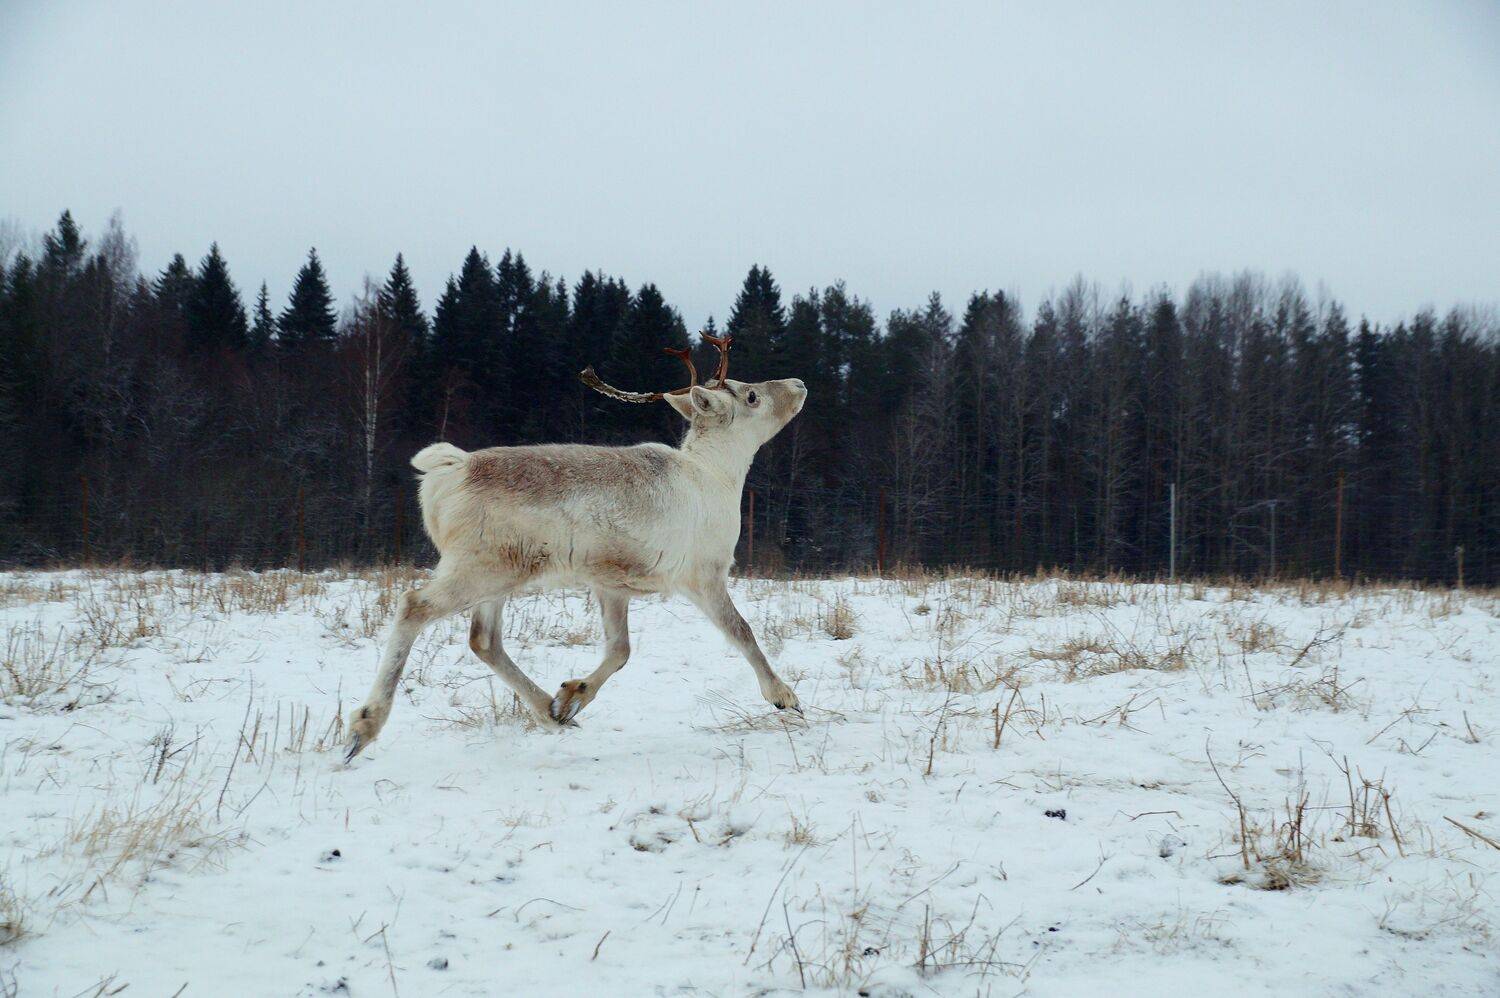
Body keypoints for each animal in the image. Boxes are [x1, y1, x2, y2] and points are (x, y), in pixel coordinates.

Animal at [344, 334, 807, 761]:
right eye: (750, 395)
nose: (799, 383)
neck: (717, 475)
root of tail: (452, 471)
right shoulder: (702, 575)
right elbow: (742, 631)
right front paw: (783, 695)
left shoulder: (612, 585)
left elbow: (620, 650)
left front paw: (571, 696)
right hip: (479, 568)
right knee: (414, 606)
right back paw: (363, 726)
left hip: (499, 577)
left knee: (483, 639)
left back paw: (549, 713)